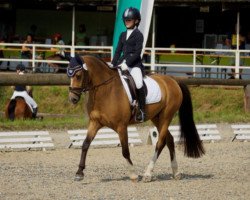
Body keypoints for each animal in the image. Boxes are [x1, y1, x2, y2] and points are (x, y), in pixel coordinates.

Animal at [67, 55, 205, 183]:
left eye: (78, 75)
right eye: (69, 75)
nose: (72, 99)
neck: (105, 91)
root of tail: (173, 80)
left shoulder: (121, 126)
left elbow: (125, 150)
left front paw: (133, 175)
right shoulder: (95, 123)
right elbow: (85, 144)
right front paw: (79, 173)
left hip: (166, 116)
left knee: (160, 143)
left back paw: (147, 174)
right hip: (156, 118)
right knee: (169, 140)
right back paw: (176, 172)